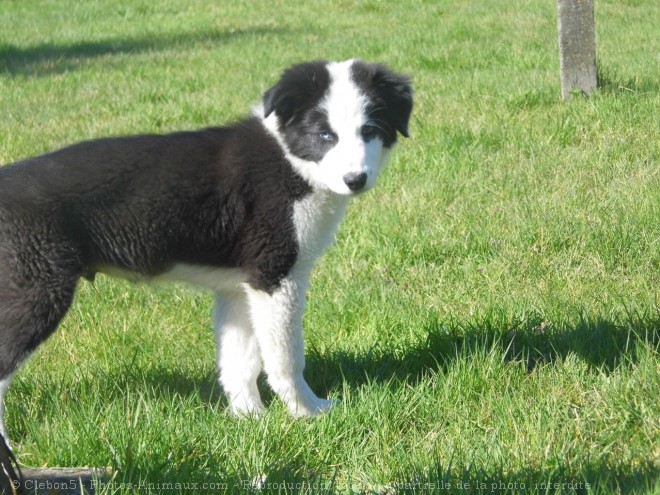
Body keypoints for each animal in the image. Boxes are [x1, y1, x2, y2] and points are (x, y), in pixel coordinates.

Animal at [0, 60, 412, 444]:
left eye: (370, 131)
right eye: (325, 135)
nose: (355, 180)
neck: (290, 161)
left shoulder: (239, 288)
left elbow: (239, 360)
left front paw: (251, 419)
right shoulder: (275, 275)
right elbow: (285, 357)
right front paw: (308, 412)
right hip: (38, 288)